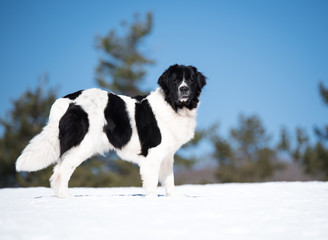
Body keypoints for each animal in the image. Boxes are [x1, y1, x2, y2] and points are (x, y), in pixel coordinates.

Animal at [16, 63, 206, 197]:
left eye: (190, 80)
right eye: (175, 80)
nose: (184, 89)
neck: (172, 105)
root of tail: (69, 99)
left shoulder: (166, 155)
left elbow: (169, 181)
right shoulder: (152, 154)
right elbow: (151, 183)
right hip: (82, 144)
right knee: (61, 172)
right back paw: (66, 198)